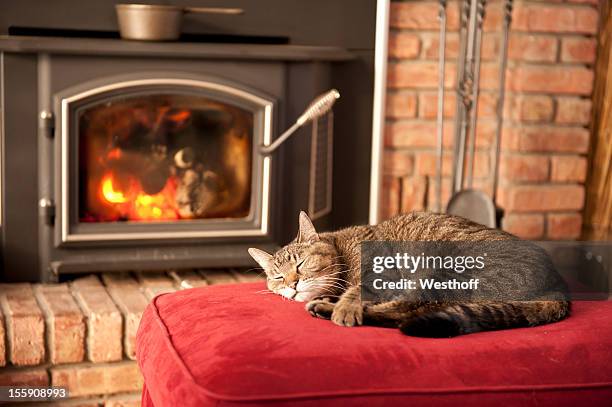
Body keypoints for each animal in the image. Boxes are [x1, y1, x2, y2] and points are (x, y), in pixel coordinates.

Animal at [247, 212, 568, 340]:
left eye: (301, 264)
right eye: (278, 278)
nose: (292, 284)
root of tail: (558, 282)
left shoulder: (382, 273)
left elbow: (356, 292)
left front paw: (343, 306)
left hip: (441, 273)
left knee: (404, 312)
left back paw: (329, 309)